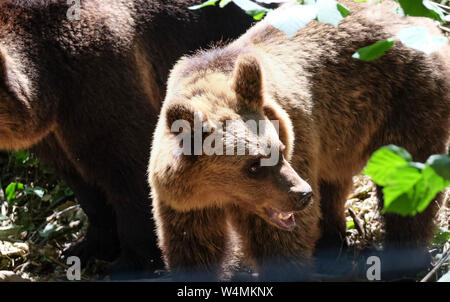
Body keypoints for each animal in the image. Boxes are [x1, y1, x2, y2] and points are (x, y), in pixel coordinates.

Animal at [0, 0, 253, 278]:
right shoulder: (55, 135)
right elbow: (84, 185)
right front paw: (85, 246)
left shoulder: (100, 80)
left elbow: (130, 173)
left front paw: (128, 264)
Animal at [150, 0, 450, 280]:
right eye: (253, 165)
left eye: (280, 150)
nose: (303, 194)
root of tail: (424, 21)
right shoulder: (186, 204)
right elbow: (194, 247)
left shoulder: (298, 137)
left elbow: (282, 243)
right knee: (334, 184)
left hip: (407, 101)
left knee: (409, 184)